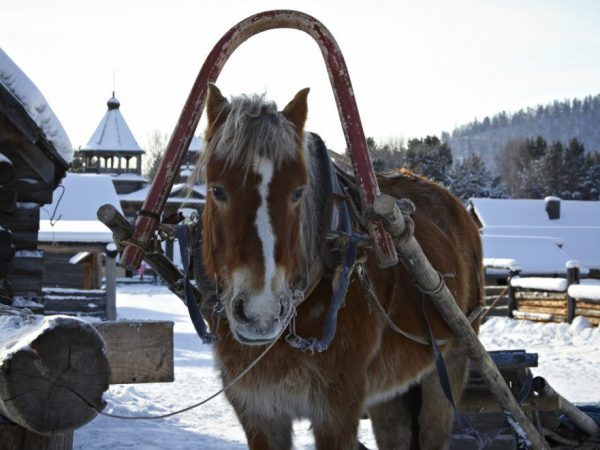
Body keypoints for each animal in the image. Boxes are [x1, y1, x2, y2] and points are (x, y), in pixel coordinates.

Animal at [197, 82, 482, 448]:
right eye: (217, 189)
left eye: (297, 191)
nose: (261, 313)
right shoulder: (258, 412)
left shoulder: (337, 413)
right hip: (389, 395)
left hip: (449, 365)